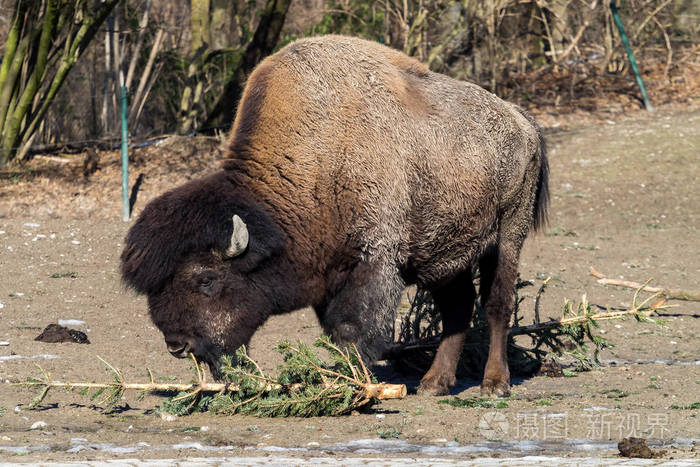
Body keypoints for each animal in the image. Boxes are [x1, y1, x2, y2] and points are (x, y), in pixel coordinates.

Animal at [119, 34, 548, 396]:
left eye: (206, 279)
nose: (177, 344)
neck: (318, 160)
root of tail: (520, 120)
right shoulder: (332, 270)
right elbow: (336, 330)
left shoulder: (374, 261)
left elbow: (352, 328)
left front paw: (354, 384)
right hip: (444, 255)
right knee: (458, 308)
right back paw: (434, 383)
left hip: (507, 235)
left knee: (496, 304)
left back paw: (494, 383)